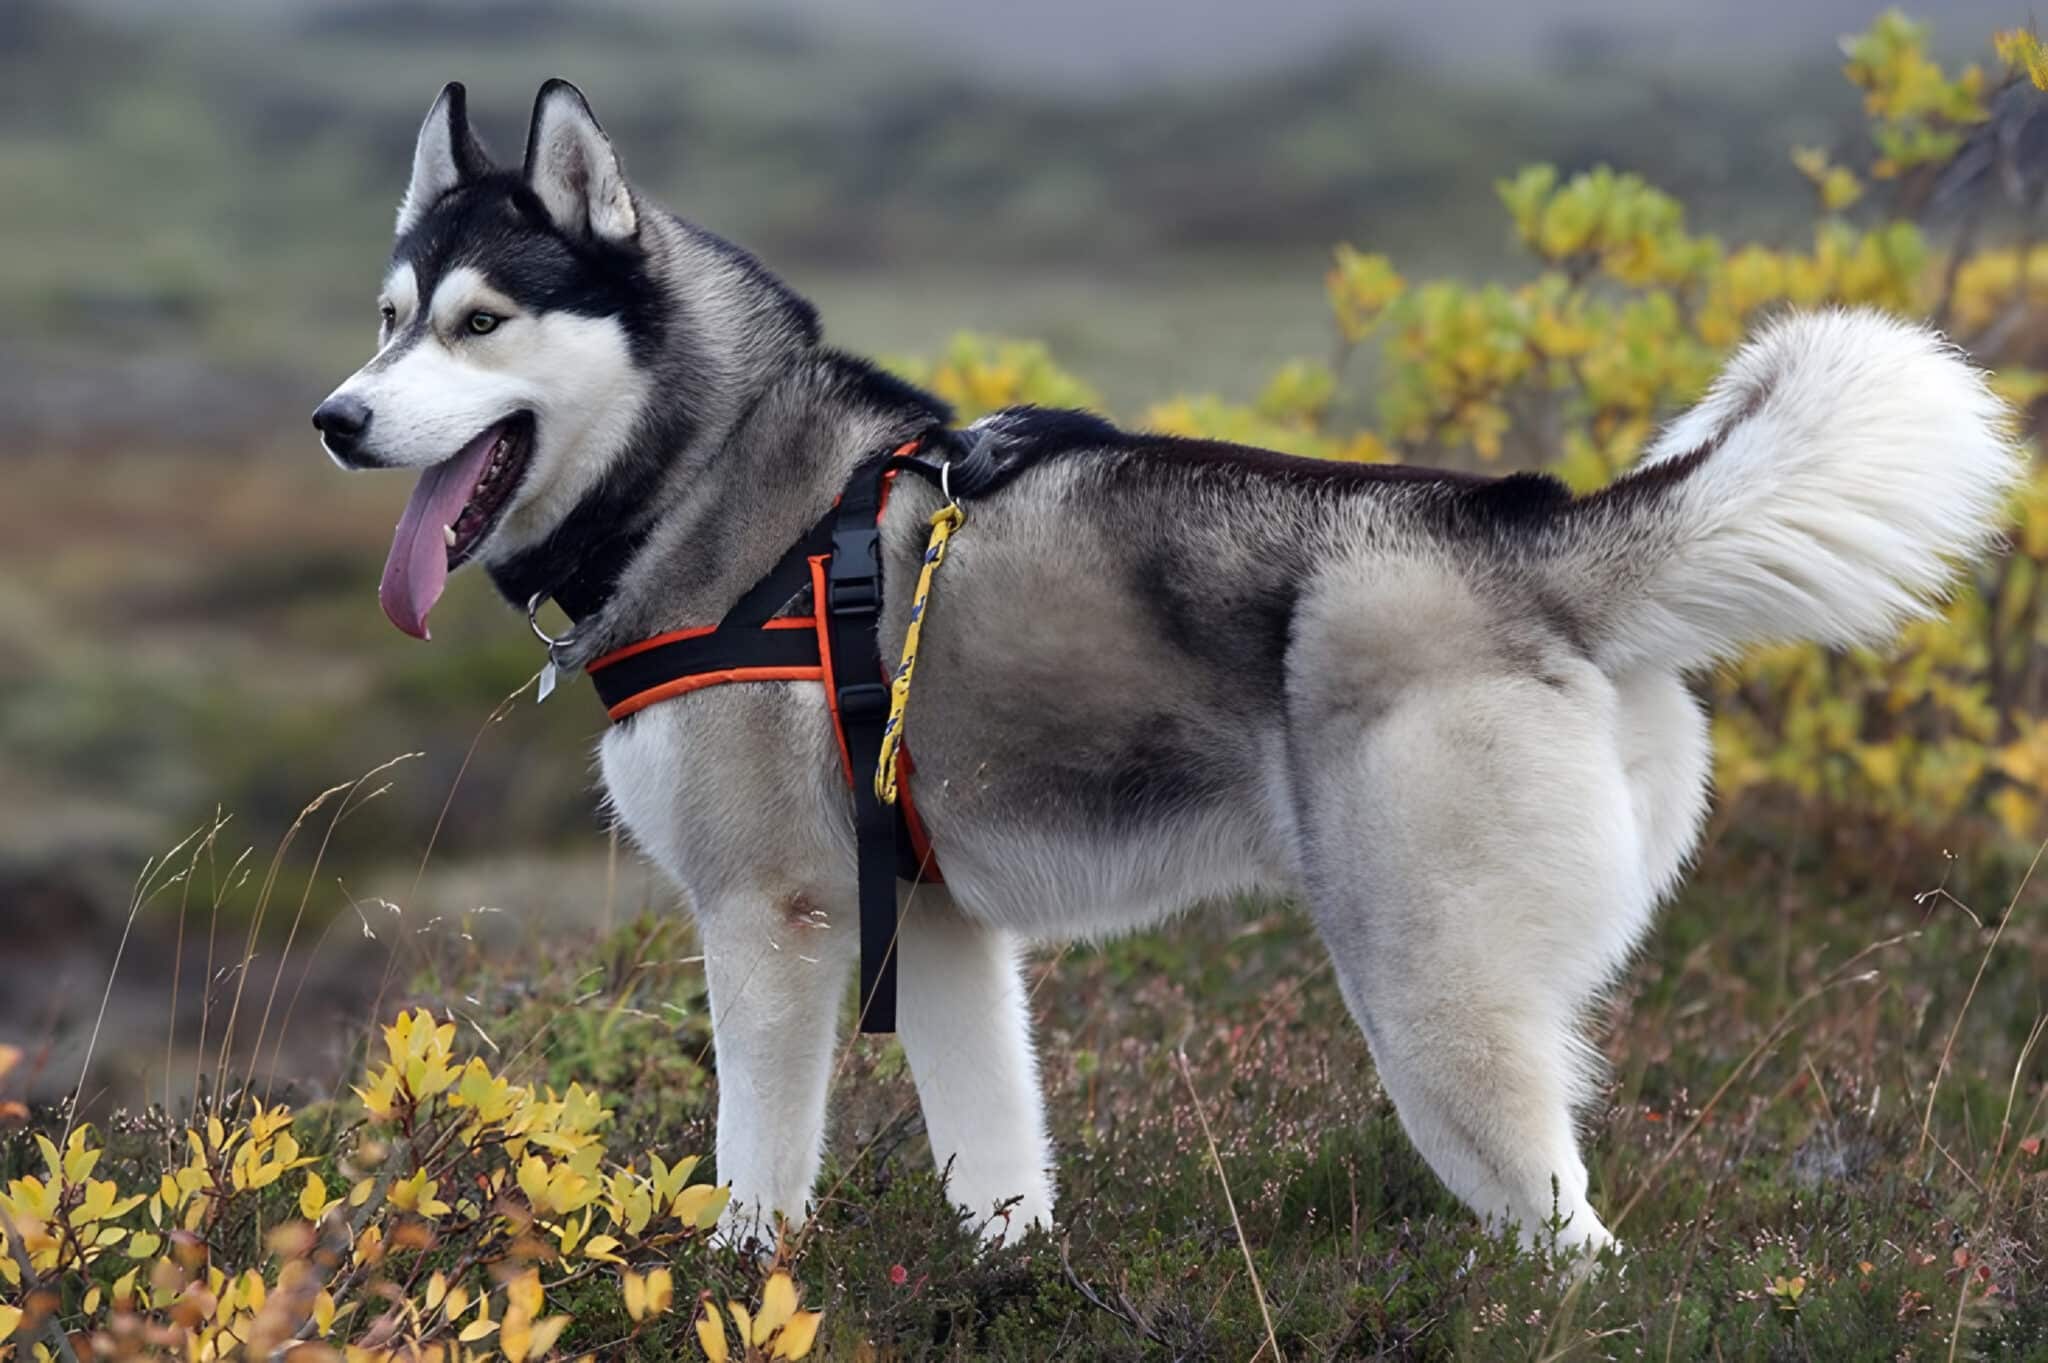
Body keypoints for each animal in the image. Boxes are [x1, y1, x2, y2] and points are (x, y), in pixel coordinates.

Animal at [315, 79, 2015, 1252]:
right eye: (389, 318)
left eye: (481, 323)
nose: (337, 417)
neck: (722, 474)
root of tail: (1527, 529)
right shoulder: (937, 927)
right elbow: (998, 1176)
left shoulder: (770, 921)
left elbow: (755, 1182)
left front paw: (746, 1286)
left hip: (1436, 1009)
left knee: (1577, 1252)